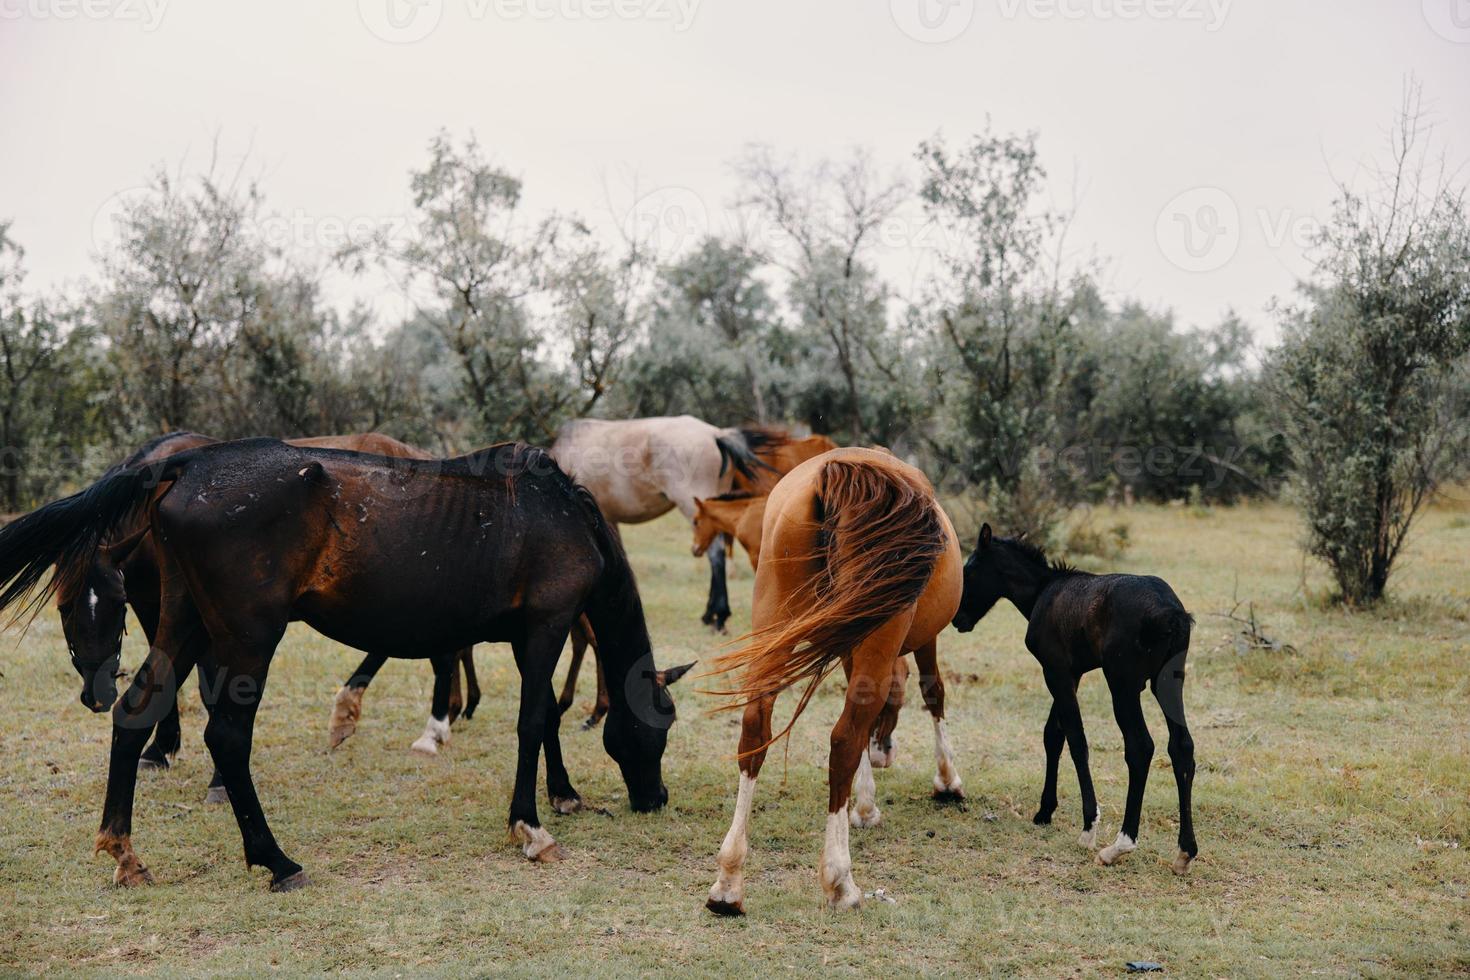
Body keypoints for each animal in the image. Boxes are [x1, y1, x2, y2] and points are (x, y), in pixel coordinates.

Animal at [55, 431, 476, 793]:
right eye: (63, 608)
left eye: (113, 604)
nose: (97, 694)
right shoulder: (152, 604)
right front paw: (160, 750)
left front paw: (215, 776)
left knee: (438, 654)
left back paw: (424, 726)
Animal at [708, 449, 970, 916]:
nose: (887, 753)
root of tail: (837, 472)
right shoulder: (920, 640)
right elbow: (933, 692)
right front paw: (947, 780)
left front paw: (863, 803)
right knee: (844, 739)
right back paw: (840, 880)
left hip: (774, 625)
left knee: (755, 729)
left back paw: (729, 880)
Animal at [952, 520, 1193, 875]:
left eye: (969, 570)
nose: (958, 619)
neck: (1044, 591)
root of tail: (1169, 613)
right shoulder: (1070, 673)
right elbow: (1054, 734)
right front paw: (1044, 811)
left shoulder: (1056, 672)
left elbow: (1076, 740)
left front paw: (1088, 825)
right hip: (1168, 682)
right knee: (1182, 747)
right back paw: (1185, 851)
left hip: (1123, 684)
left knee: (1140, 747)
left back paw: (1119, 845)